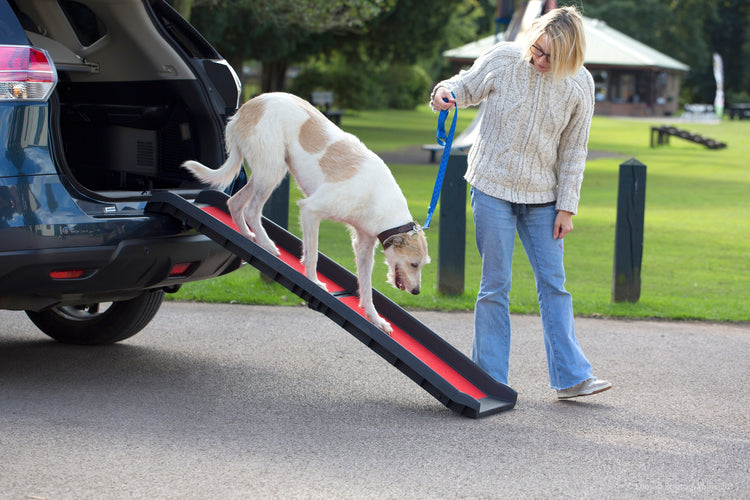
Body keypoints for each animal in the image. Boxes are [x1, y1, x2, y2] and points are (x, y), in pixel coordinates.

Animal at [182, 94, 428, 336]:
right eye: (414, 264)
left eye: (423, 265)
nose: (417, 292)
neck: (380, 200)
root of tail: (247, 107)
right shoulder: (311, 210)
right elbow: (313, 255)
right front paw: (314, 282)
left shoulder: (364, 245)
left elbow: (367, 288)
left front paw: (375, 319)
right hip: (272, 170)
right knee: (252, 210)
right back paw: (267, 244)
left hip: (266, 172)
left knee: (234, 203)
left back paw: (250, 237)